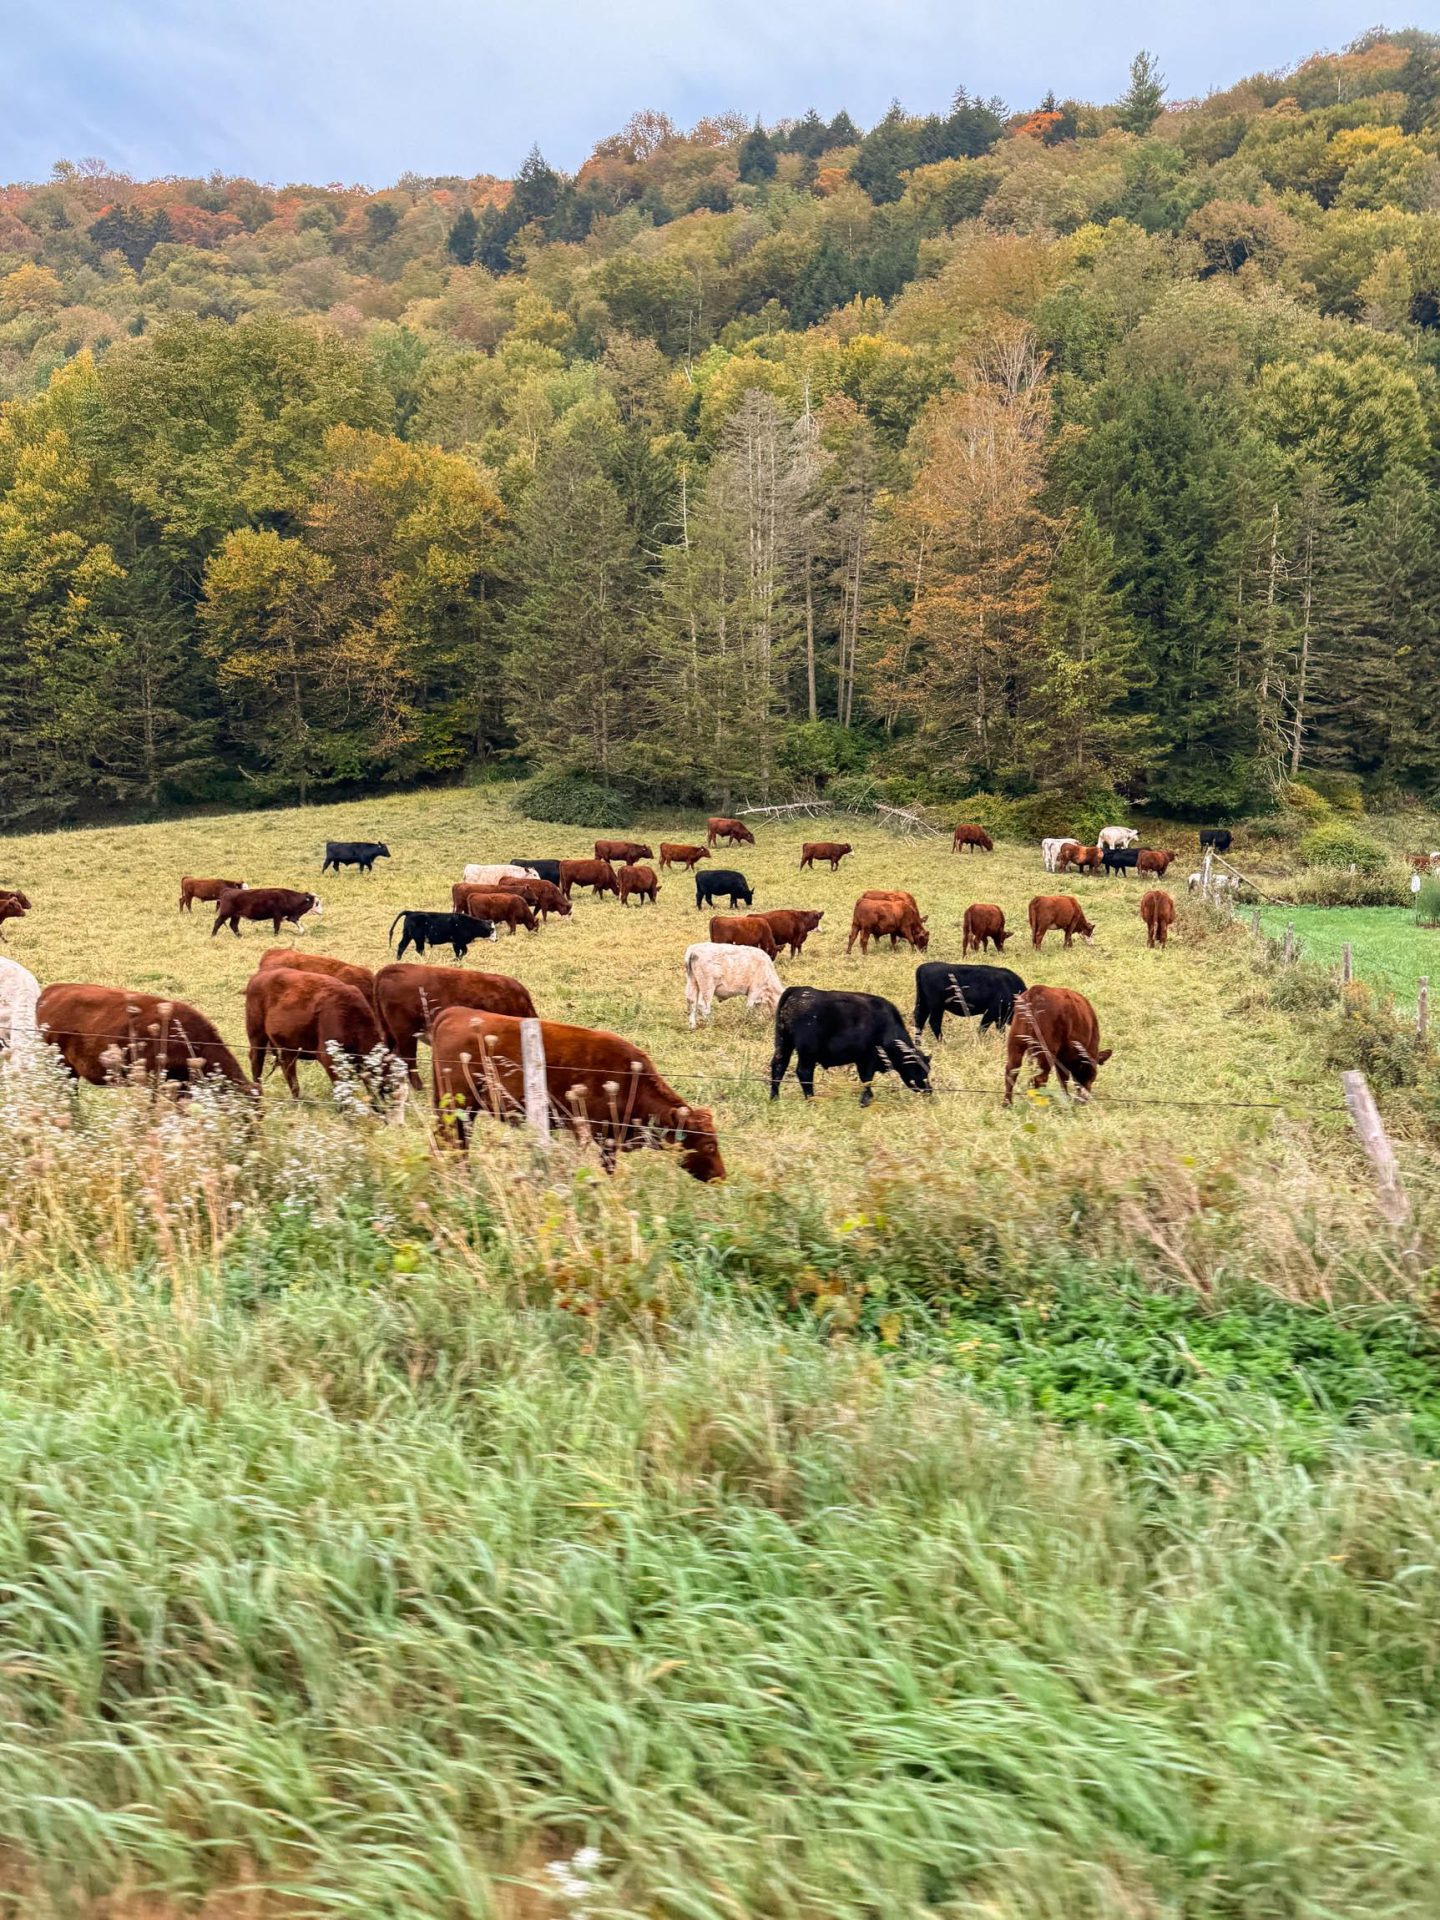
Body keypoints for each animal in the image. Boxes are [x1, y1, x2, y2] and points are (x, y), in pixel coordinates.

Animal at [245, 967, 397, 1105]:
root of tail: (258, 976)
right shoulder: (328, 1059)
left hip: (287, 1048)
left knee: (288, 1070)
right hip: (257, 1035)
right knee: (257, 1060)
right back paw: (257, 1094)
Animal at [426, 1006, 721, 1182]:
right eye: (709, 1145)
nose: (722, 1175)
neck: (631, 1079)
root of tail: (455, 1012)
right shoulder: (599, 1135)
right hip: (460, 1106)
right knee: (455, 1141)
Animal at [771, 990, 929, 1113]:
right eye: (921, 1071)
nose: (928, 1090)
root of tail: (797, 991)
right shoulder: (868, 1058)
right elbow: (867, 1079)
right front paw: (865, 1101)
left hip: (783, 1044)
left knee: (778, 1067)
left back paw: (774, 1098)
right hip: (807, 1052)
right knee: (803, 1072)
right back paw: (811, 1100)